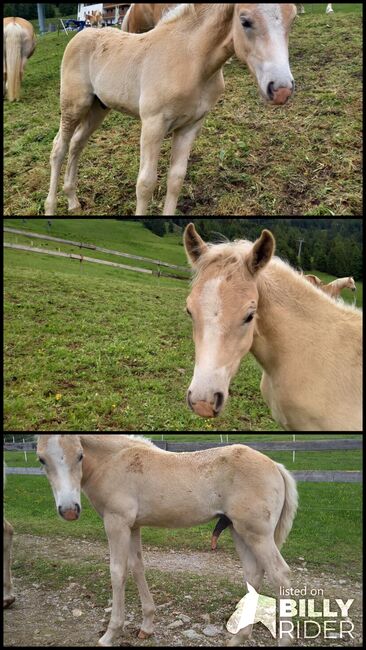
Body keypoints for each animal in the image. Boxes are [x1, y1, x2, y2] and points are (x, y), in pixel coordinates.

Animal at [38, 432, 298, 644]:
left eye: (80, 455)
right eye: (41, 459)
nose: (69, 510)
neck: (112, 462)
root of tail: (275, 466)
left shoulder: (116, 522)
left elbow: (117, 572)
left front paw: (110, 634)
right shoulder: (133, 526)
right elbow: (137, 567)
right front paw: (146, 626)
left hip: (257, 534)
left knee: (280, 575)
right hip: (239, 531)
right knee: (253, 575)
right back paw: (237, 638)